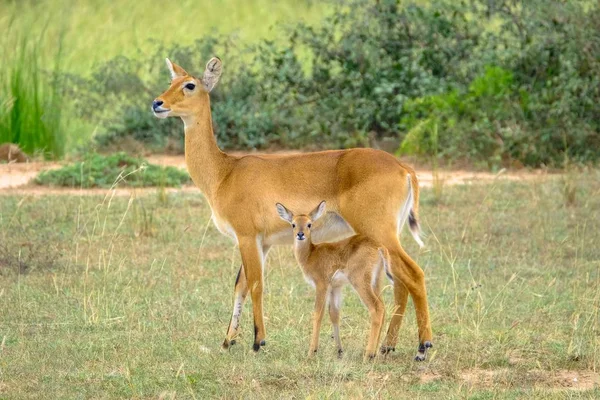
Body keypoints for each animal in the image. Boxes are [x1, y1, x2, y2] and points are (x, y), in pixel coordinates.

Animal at [150, 56, 432, 360]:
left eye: (189, 85)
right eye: (171, 81)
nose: (157, 103)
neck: (225, 173)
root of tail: (403, 168)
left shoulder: (247, 237)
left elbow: (256, 284)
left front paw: (258, 341)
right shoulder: (261, 242)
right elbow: (240, 285)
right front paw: (227, 341)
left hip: (379, 231)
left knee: (414, 274)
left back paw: (423, 347)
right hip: (387, 237)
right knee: (400, 282)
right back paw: (388, 346)